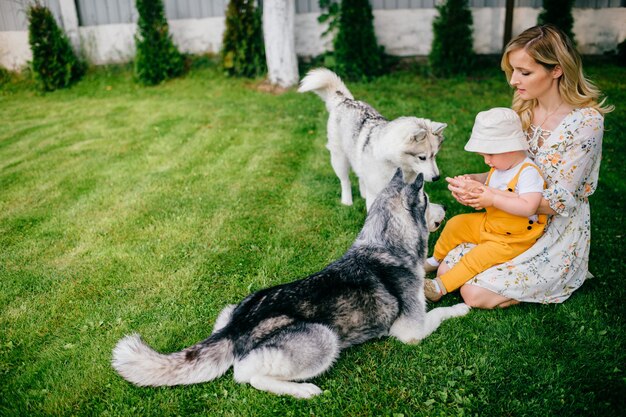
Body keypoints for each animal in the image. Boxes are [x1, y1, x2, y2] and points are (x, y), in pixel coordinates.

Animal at [111, 171, 468, 398]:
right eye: (427, 199)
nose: (447, 207)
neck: (385, 243)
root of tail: (236, 327)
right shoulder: (410, 332)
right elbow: (438, 314)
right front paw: (462, 307)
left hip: (233, 306)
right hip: (323, 339)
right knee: (248, 376)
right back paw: (303, 390)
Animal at [296, 69, 444, 211]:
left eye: (434, 155)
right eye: (422, 157)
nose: (437, 178)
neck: (394, 163)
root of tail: (345, 100)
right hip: (339, 159)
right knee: (345, 181)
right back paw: (347, 201)